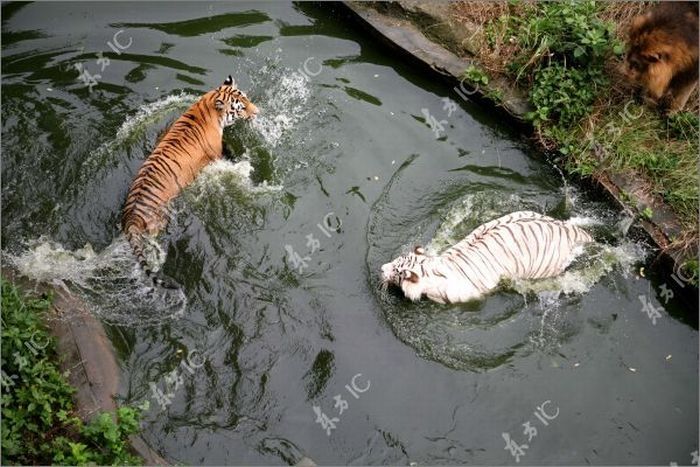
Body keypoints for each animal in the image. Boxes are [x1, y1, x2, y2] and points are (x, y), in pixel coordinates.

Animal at [123, 75, 260, 288]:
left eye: (246, 98)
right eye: (241, 107)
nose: (258, 112)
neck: (205, 106)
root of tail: (131, 216)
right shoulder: (217, 155)